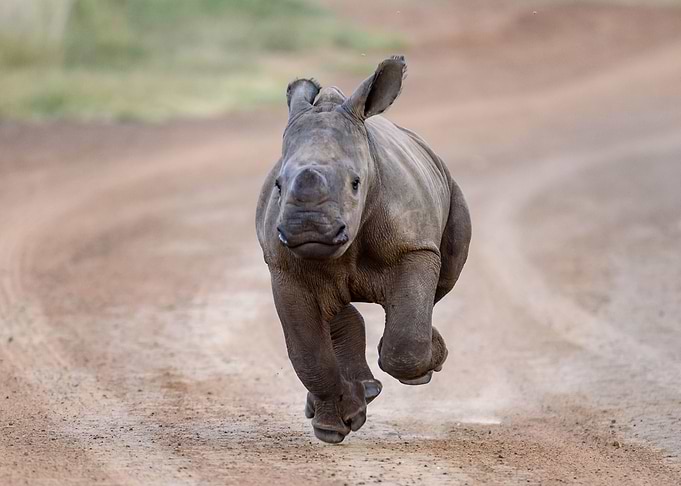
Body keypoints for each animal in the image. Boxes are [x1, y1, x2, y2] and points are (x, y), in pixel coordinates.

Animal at [256, 56, 471, 443]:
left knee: (444, 278)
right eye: (278, 185)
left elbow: (405, 341)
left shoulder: (413, 247)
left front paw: (420, 366)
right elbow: (309, 356)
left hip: (449, 186)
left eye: (356, 183)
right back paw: (359, 394)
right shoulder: (284, 267)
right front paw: (333, 426)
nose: (308, 227)